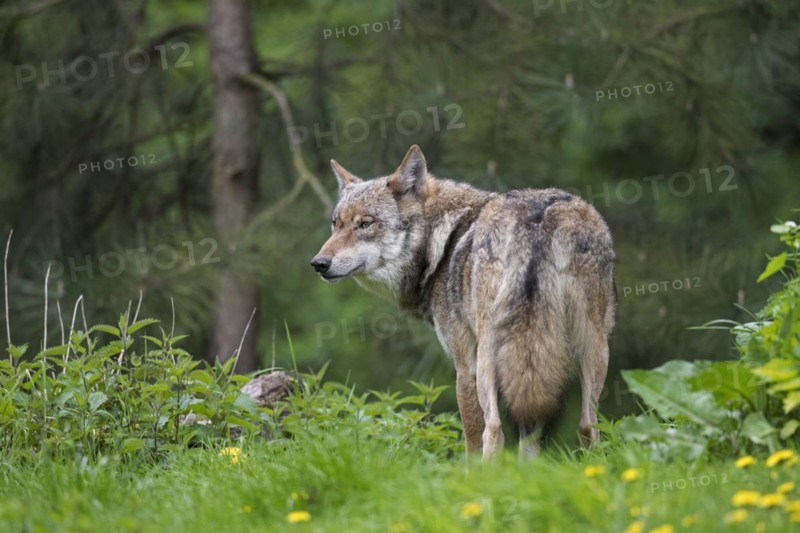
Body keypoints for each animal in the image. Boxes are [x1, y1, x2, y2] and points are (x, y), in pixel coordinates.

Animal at [310, 145, 615, 458]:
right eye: (336, 224)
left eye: (365, 224)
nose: (318, 263)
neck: (440, 243)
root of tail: (539, 217)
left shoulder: (464, 367)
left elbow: (471, 440)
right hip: (592, 349)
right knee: (586, 426)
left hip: (489, 357)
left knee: (494, 431)